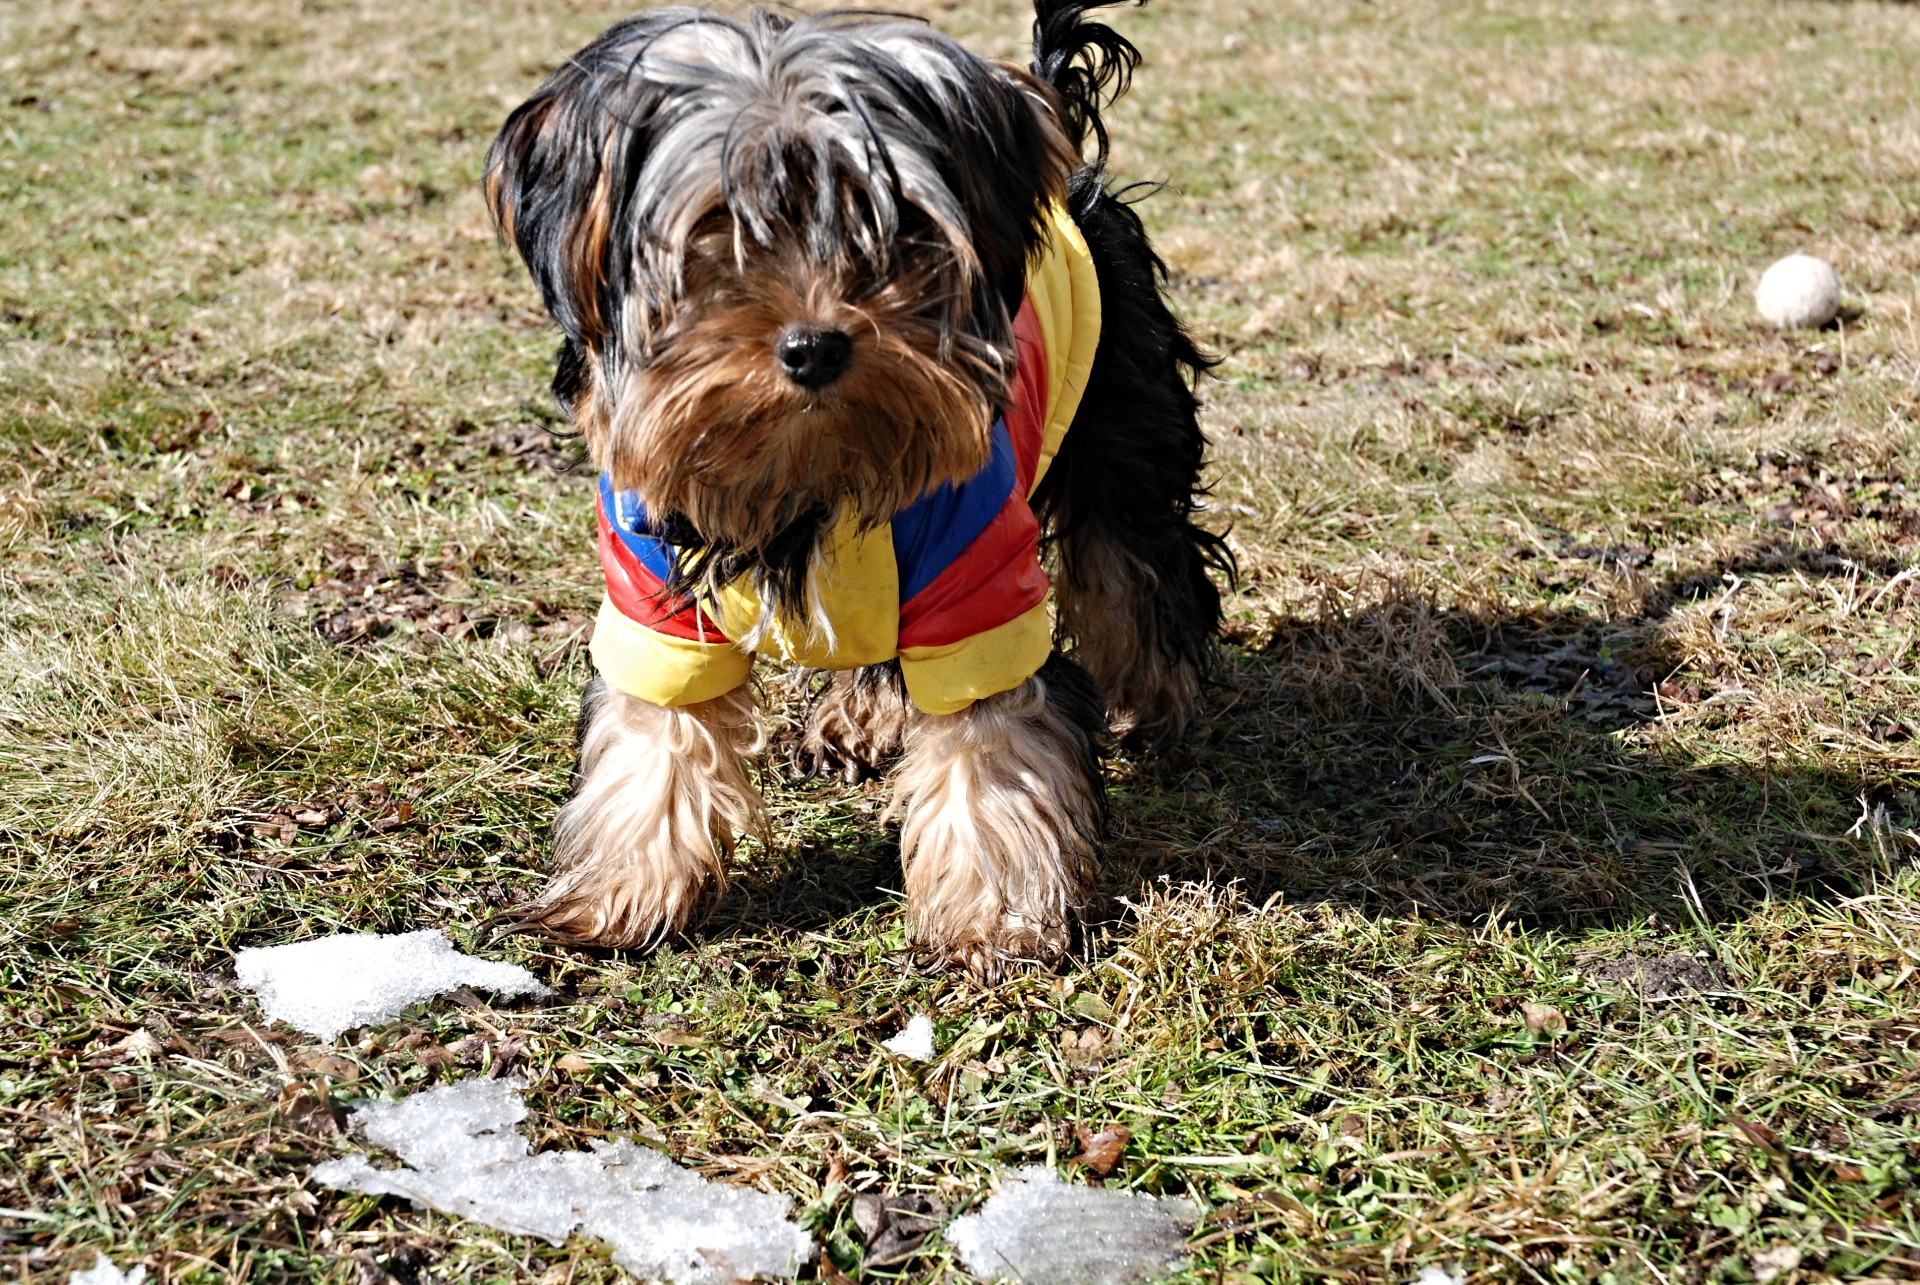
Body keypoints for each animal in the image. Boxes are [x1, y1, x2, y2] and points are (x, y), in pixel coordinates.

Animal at [480, 0, 1228, 971]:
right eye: (720, 227)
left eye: (896, 225)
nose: (815, 345)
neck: (805, 465)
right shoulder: (651, 586)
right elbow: (654, 733)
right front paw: (620, 894)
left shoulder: (976, 572)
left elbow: (990, 740)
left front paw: (991, 918)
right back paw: (861, 722)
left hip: (1123, 409)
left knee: (1136, 560)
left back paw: (1156, 706)